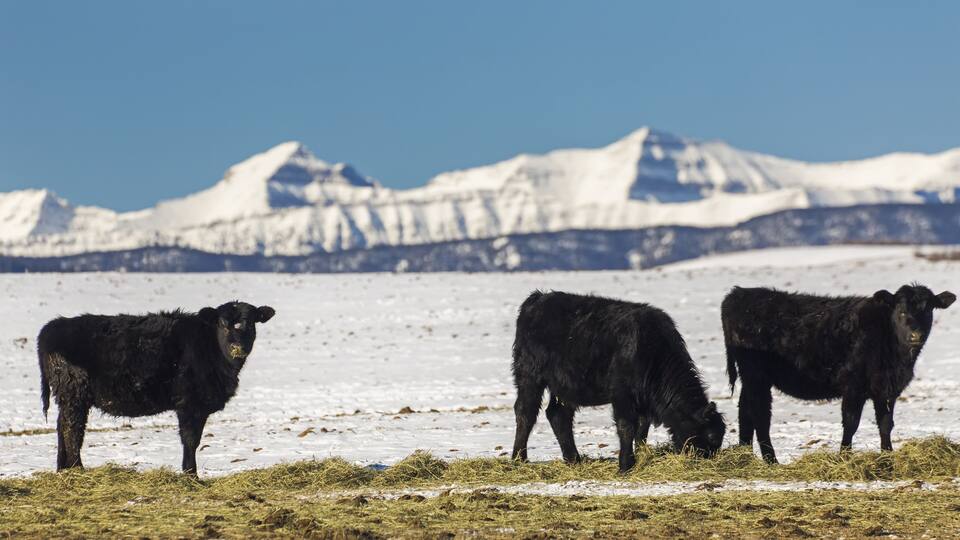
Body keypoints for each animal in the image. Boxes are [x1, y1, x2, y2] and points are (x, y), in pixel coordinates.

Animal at [38, 301, 276, 474]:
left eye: (251, 324)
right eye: (223, 324)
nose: (238, 347)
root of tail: (53, 327)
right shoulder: (190, 404)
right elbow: (191, 440)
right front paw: (191, 474)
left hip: (67, 396)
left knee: (61, 426)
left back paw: (63, 469)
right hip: (74, 393)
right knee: (72, 430)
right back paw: (78, 468)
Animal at [511, 291, 725, 473]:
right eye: (711, 437)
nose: (707, 460)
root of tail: (538, 298)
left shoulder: (642, 402)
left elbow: (642, 429)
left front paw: (640, 456)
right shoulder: (622, 395)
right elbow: (626, 427)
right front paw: (625, 465)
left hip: (564, 388)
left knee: (558, 415)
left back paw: (574, 460)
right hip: (529, 376)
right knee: (525, 413)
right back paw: (519, 459)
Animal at [722, 284, 955, 463]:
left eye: (928, 310)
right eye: (902, 311)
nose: (916, 335)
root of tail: (738, 293)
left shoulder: (886, 390)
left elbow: (886, 424)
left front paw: (887, 456)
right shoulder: (853, 387)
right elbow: (851, 423)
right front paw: (844, 456)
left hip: (751, 379)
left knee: (745, 411)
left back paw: (745, 455)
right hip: (756, 376)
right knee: (760, 415)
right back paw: (771, 461)